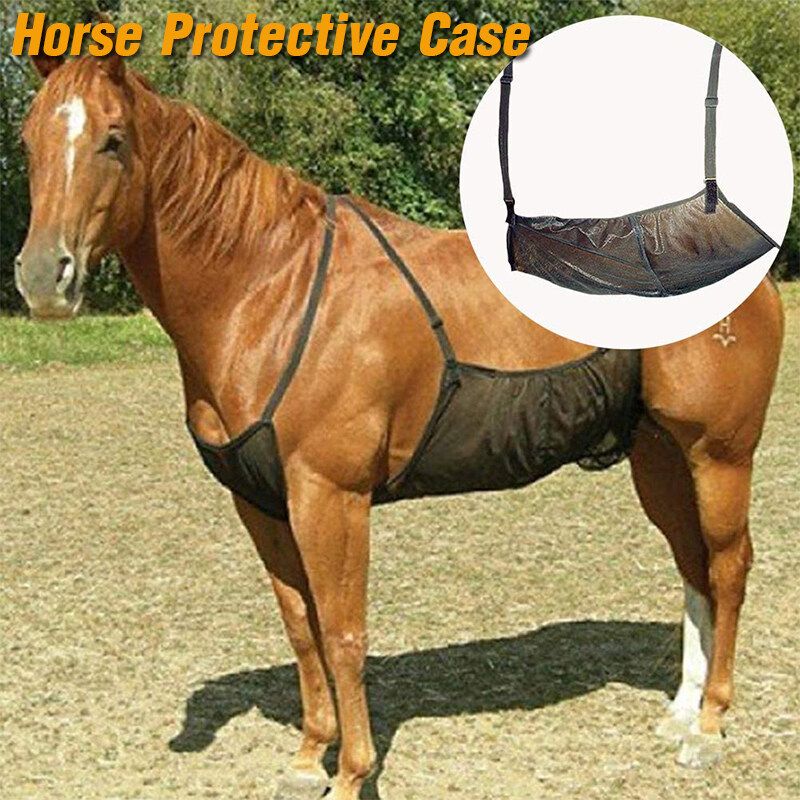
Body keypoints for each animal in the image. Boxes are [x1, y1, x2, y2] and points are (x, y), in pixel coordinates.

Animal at [15, 51, 783, 800]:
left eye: (114, 140)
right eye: (29, 140)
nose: (43, 278)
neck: (269, 290)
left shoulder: (331, 497)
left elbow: (343, 633)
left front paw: (352, 772)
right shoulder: (260, 502)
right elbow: (302, 629)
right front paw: (308, 758)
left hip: (718, 455)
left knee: (728, 567)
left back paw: (709, 726)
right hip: (659, 457)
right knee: (693, 566)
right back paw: (682, 710)